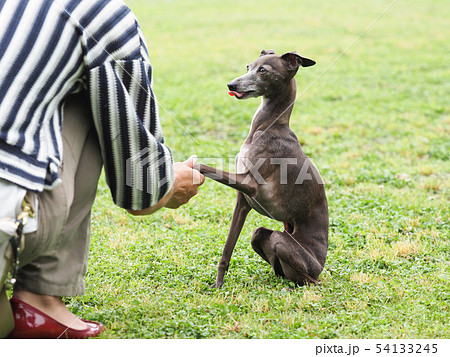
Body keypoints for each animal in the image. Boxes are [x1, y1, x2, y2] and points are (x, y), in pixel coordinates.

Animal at [195, 50, 328, 288]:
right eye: (248, 66)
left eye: (263, 70)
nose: (231, 84)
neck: (268, 126)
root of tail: (320, 265)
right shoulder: (242, 201)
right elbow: (227, 250)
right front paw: (218, 285)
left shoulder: (250, 184)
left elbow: (203, 165)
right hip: (259, 235)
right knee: (267, 248)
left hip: (287, 246)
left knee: (310, 279)